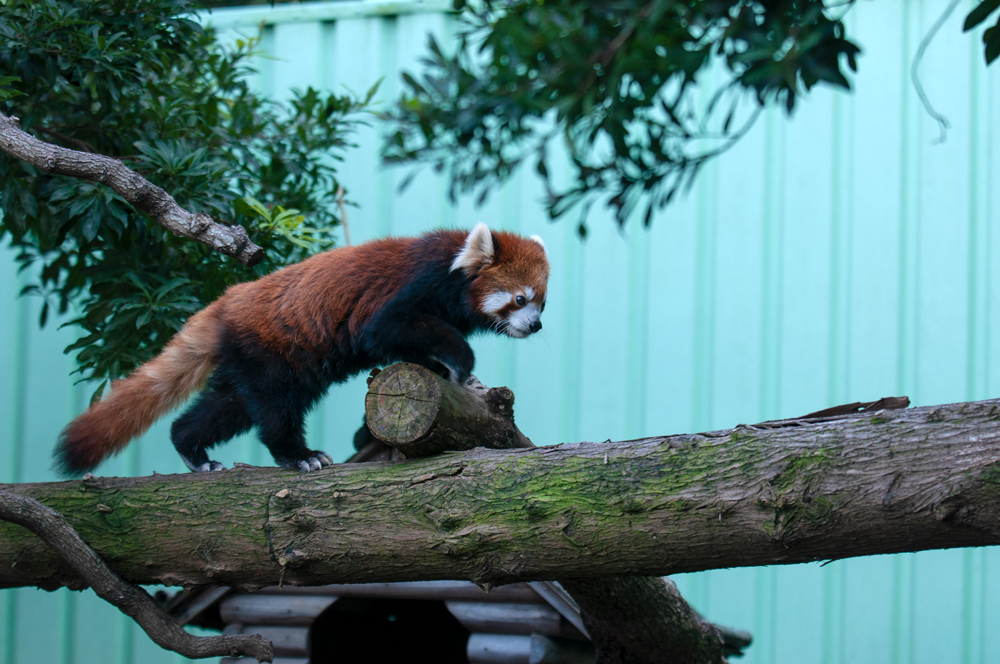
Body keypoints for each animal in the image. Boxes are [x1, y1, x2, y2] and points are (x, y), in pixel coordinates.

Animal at [55, 226, 552, 474]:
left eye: (541, 302)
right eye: (520, 299)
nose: (537, 325)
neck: (451, 266)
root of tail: (224, 304)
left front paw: (444, 369)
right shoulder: (410, 289)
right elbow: (390, 330)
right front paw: (458, 362)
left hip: (249, 363)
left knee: (229, 407)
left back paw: (192, 450)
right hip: (273, 355)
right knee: (276, 410)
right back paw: (298, 455)